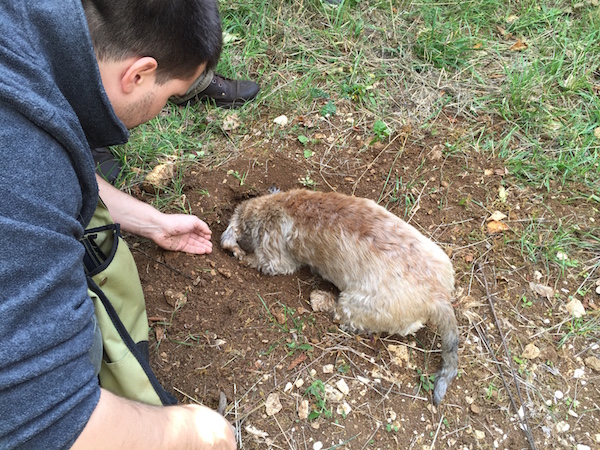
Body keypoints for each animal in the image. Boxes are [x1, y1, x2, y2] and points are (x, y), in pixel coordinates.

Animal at [221, 188, 460, 406]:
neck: (275, 205)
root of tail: (438, 295)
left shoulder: (276, 259)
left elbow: (261, 261)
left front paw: (244, 257)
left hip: (355, 303)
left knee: (343, 314)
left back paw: (322, 299)